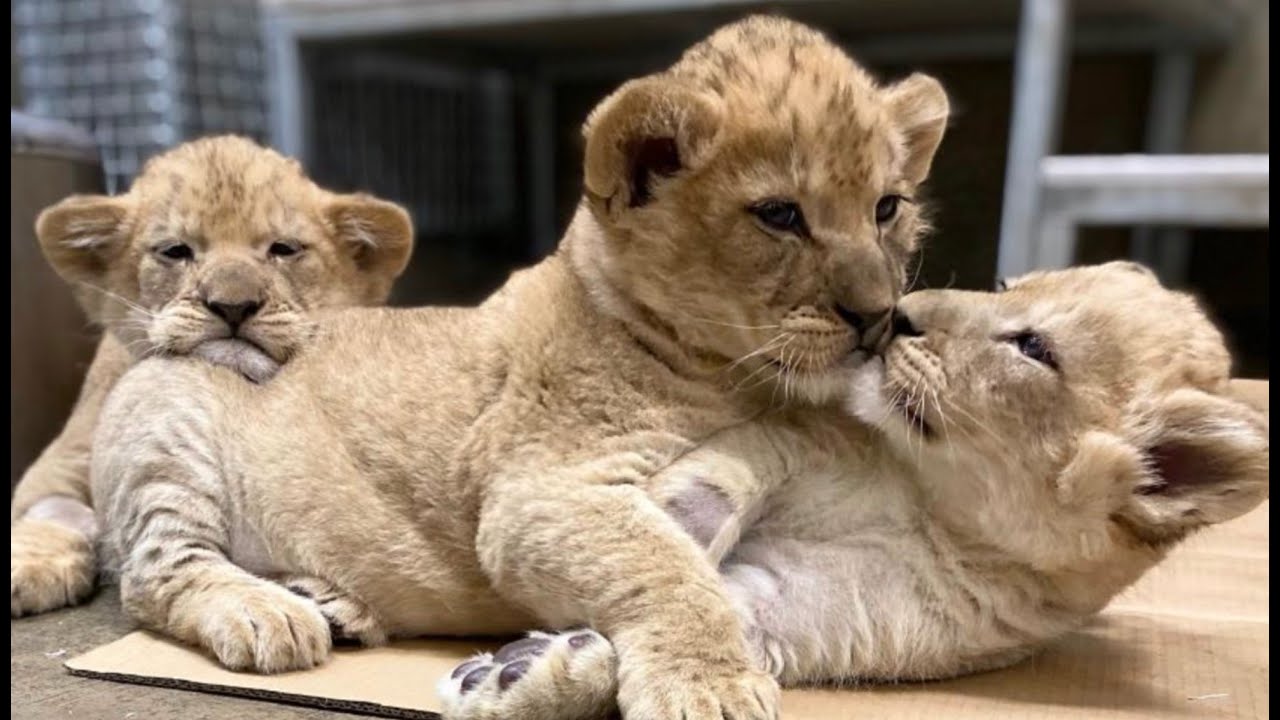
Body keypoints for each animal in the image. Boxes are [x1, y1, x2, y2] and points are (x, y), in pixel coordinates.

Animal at [10, 135, 414, 617]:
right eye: (175, 251)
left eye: (283, 249)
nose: (233, 305)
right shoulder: (65, 457)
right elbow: (51, 509)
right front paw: (31, 565)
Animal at [88, 17, 949, 720]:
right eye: (778, 215)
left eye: (886, 208)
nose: (879, 316)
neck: (730, 372)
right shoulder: (538, 491)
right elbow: (665, 567)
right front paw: (711, 687)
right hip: (165, 427)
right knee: (155, 574)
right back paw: (269, 613)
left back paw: (333, 601)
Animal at [434, 261, 1269, 720]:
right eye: (1007, 284)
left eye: (1034, 347)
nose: (898, 315)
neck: (931, 504)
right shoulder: (806, 431)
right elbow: (724, 479)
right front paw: (662, 514)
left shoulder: (808, 614)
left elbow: (705, 619)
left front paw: (522, 672)